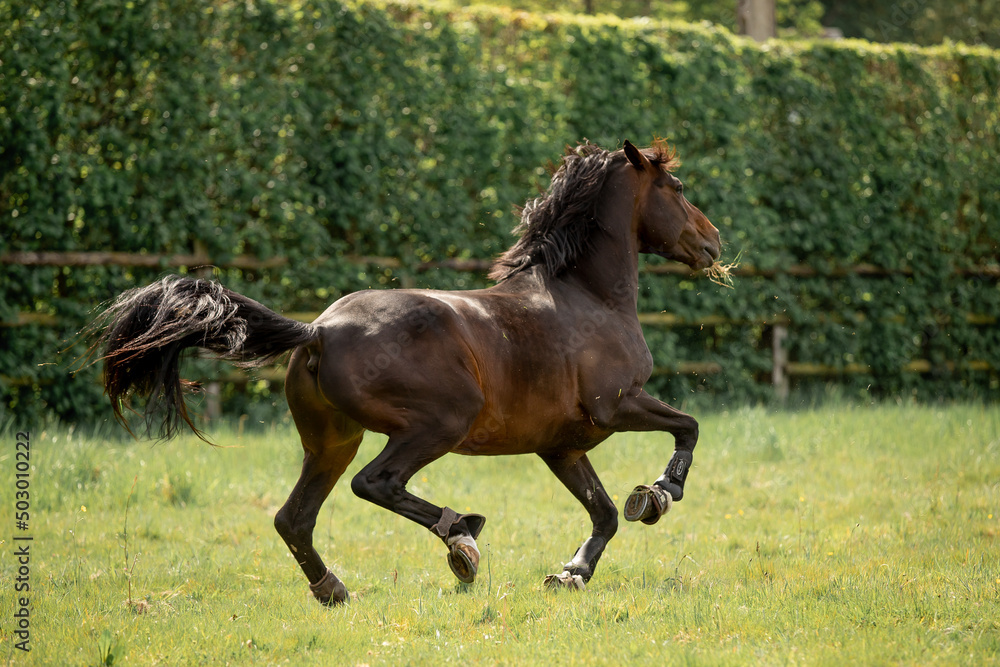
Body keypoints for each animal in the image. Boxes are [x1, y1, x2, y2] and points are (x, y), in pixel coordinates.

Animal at [93, 139, 721, 603]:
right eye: (677, 189)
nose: (714, 243)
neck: (586, 296)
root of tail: (318, 330)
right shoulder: (617, 405)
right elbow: (688, 427)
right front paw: (661, 493)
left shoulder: (562, 445)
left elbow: (606, 513)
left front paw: (572, 573)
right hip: (438, 423)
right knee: (375, 483)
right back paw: (462, 538)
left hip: (330, 443)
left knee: (293, 518)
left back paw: (334, 589)